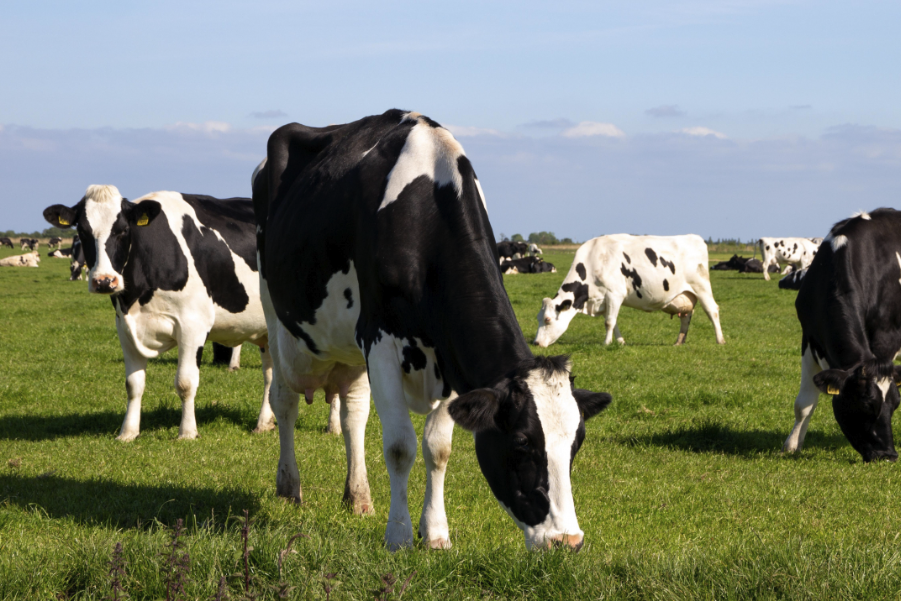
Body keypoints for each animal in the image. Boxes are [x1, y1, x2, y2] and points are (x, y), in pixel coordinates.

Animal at [251, 110, 612, 552]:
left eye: (577, 443)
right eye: (521, 443)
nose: (568, 540)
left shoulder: (450, 354)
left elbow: (438, 448)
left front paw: (436, 533)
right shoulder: (379, 341)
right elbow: (399, 446)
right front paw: (399, 535)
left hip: (350, 348)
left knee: (353, 415)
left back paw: (358, 496)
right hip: (277, 316)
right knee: (284, 399)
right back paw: (289, 486)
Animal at [536, 234, 724, 346]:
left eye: (547, 320)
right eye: (538, 318)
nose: (536, 343)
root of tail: (695, 237)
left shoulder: (615, 293)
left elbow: (609, 322)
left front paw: (606, 343)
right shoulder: (605, 299)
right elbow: (613, 322)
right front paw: (620, 342)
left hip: (701, 287)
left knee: (712, 310)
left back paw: (720, 340)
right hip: (686, 295)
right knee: (686, 317)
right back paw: (678, 343)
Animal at [780, 209, 900, 462]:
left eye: (896, 404)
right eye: (866, 404)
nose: (888, 455)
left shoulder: (887, 338)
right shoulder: (809, 339)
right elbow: (804, 403)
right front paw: (793, 445)